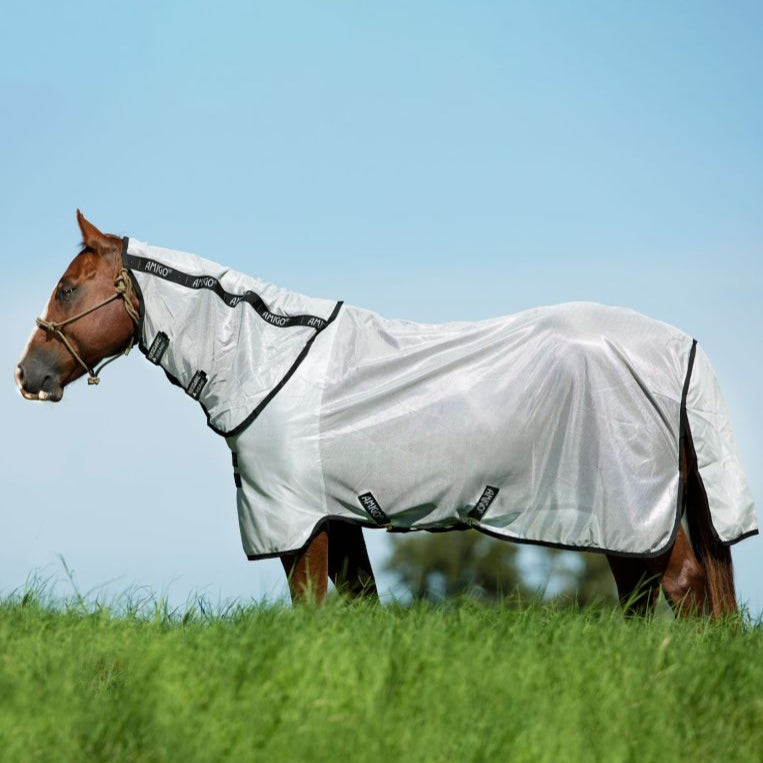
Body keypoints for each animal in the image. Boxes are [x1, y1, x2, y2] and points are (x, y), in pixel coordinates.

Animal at [16, 211, 757, 616]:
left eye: (67, 287)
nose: (29, 375)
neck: (268, 359)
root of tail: (679, 347)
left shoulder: (298, 522)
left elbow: (311, 606)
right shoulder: (337, 518)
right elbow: (356, 605)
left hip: (628, 514)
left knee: (682, 587)